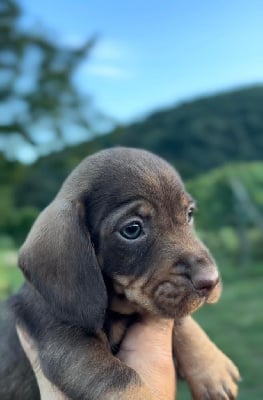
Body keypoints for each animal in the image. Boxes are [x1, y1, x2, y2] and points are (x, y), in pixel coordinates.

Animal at [0, 148, 239, 400]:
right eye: (132, 229)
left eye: (189, 213)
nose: (211, 281)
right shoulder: (65, 343)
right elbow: (123, 381)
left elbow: (182, 320)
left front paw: (211, 367)